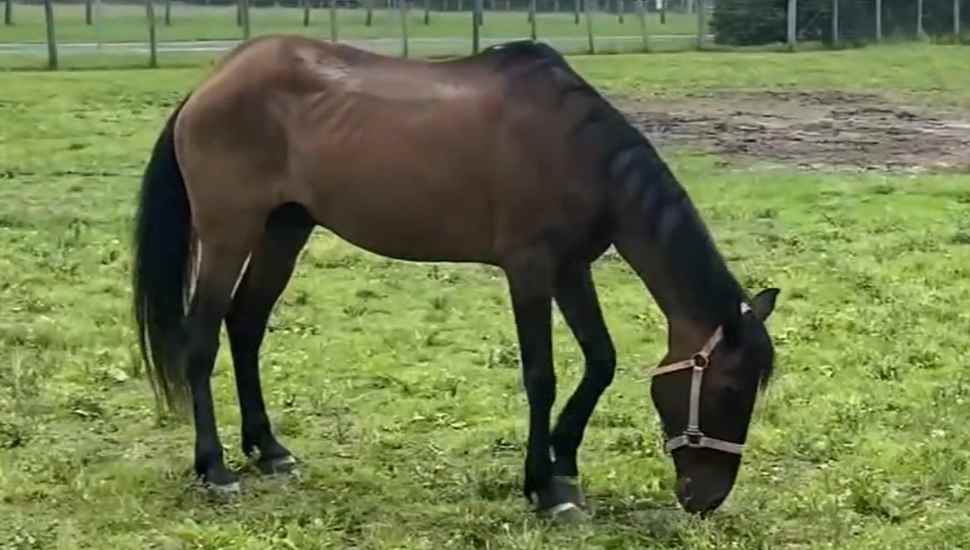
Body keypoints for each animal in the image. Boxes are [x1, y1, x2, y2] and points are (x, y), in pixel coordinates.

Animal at [131, 35, 780, 521]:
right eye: (728, 390)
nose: (706, 500)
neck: (577, 149)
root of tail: (210, 83)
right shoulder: (529, 269)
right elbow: (541, 376)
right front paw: (544, 486)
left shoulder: (571, 268)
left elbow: (600, 361)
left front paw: (565, 465)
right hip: (228, 233)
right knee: (201, 339)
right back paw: (215, 467)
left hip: (284, 229)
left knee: (245, 326)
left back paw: (268, 450)